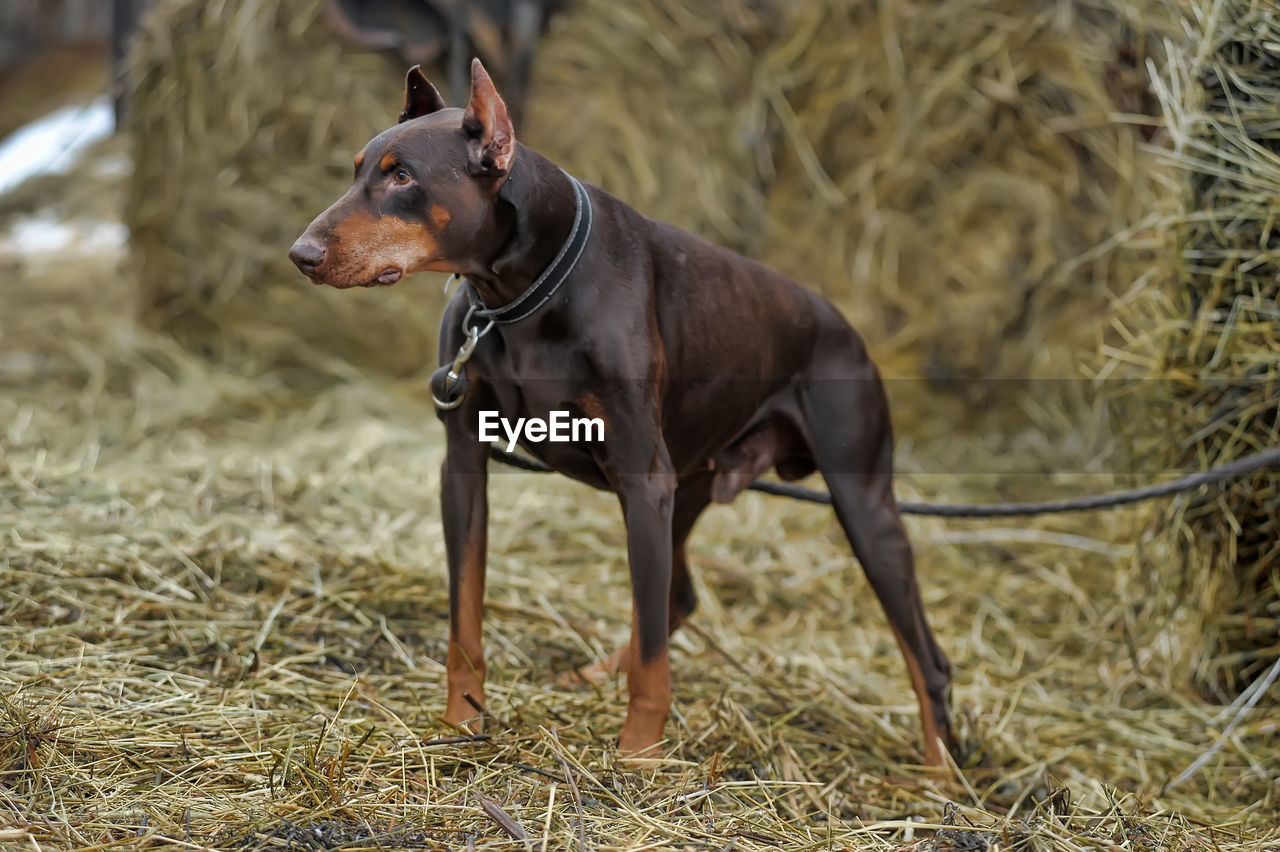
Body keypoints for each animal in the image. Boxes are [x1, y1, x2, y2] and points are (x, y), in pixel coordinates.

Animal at [288, 61, 952, 762]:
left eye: (402, 177)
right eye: (357, 169)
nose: (301, 254)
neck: (522, 292)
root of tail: (849, 331)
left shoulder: (641, 475)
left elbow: (654, 658)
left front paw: (637, 756)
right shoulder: (464, 463)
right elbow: (465, 616)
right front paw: (461, 723)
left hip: (858, 503)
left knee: (925, 659)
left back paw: (943, 776)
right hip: (688, 486)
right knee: (675, 597)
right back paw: (593, 672)